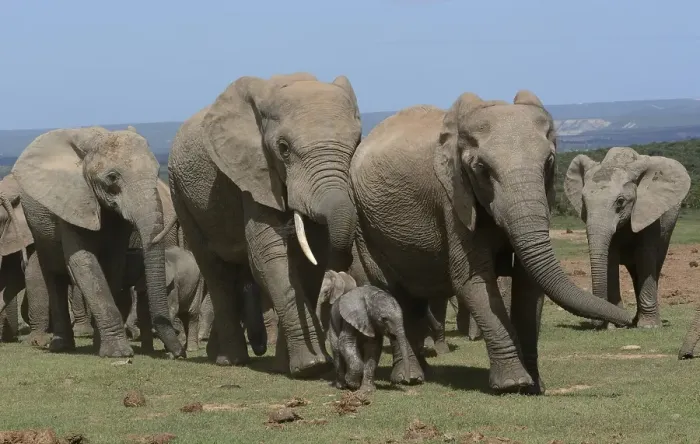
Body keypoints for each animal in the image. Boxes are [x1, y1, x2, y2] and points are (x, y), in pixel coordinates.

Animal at [12, 126, 184, 358]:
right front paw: (119, 353)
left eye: (157, 171)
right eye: (112, 177)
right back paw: (61, 346)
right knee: (53, 274)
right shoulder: (73, 203)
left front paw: (101, 346)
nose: (178, 353)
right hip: (36, 224)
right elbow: (83, 262)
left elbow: (113, 263)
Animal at [166, 72, 362, 376]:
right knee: (215, 270)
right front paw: (312, 366)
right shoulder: (252, 173)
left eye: (357, 143)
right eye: (283, 149)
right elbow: (268, 256)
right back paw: (231, 360)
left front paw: (293, 366)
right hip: (181, 194)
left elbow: (310, 259)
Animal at [348, 91, 634, 395]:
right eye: (482, 169)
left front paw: (534, 386)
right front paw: (513, 384)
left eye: (549, 162)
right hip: (363, 222)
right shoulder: (453, 198)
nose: (629, 319)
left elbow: (529, 284)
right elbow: (473, 280)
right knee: (390, 288)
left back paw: (424, 373)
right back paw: (409, 378)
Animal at [564, 147, 690, 329]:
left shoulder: (649, 212)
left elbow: (645, 255)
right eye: (583, 202)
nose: (596, 323)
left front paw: (649, 326)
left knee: (654, 265)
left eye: (620, 201)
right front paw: (614, 326)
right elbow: (610, 258)